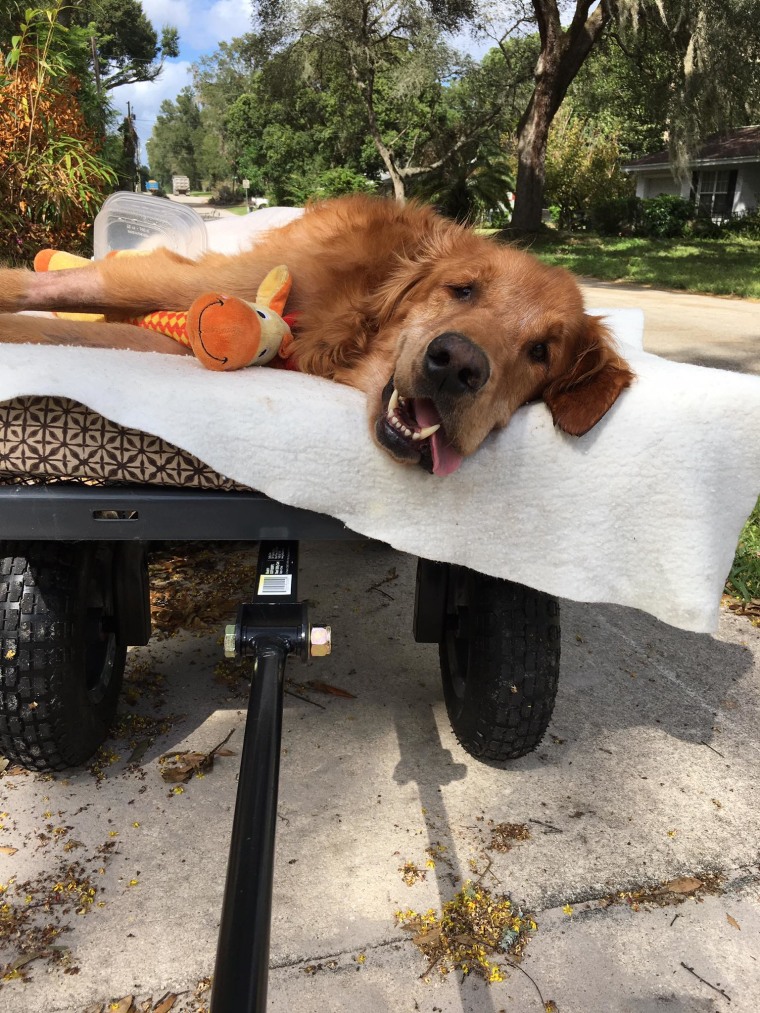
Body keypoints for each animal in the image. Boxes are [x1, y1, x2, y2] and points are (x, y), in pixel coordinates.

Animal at [0, 195, 632, 476]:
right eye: (462, 290)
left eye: (541, 352)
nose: (456, 365)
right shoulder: (209, 285)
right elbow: (48, 296)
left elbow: (65, 331)